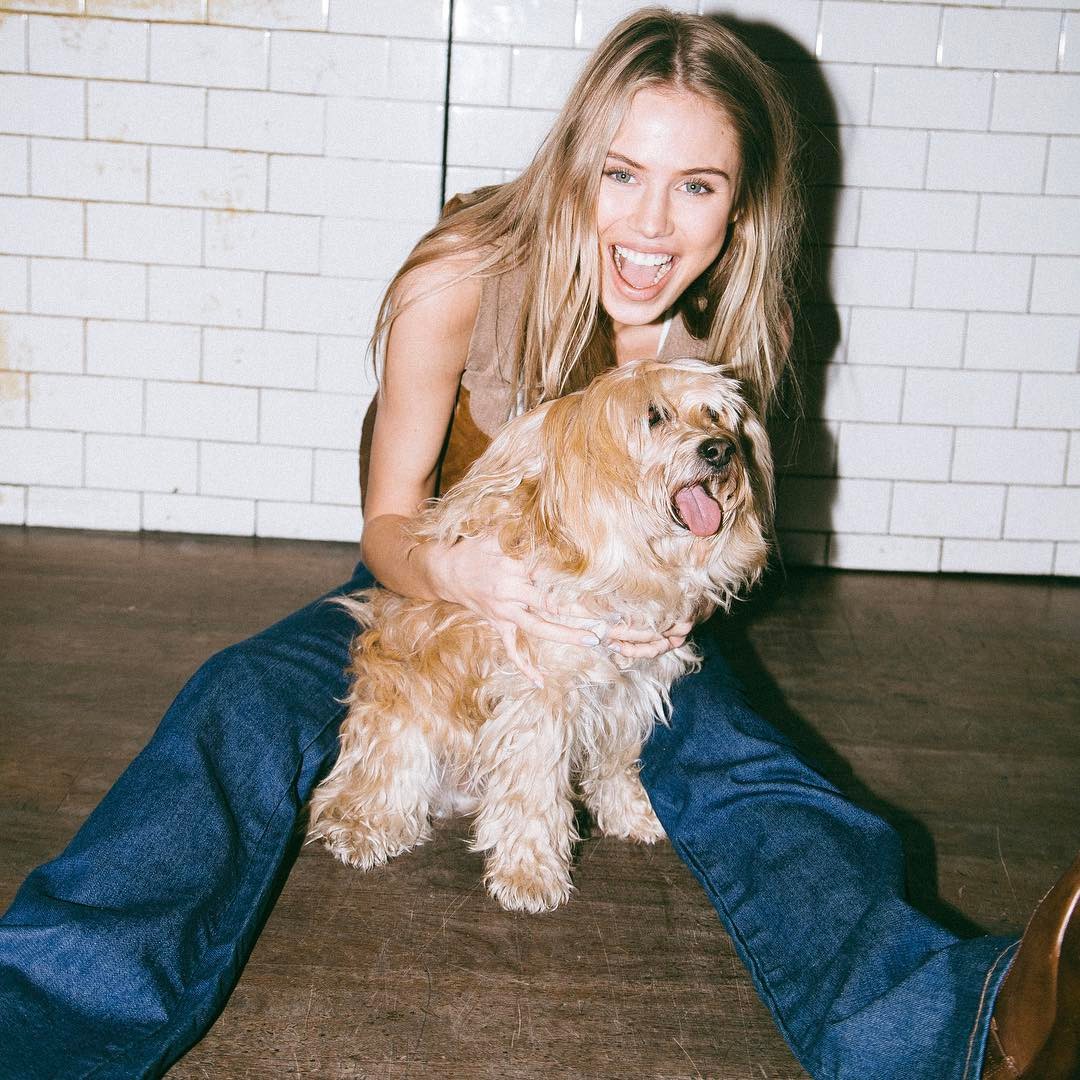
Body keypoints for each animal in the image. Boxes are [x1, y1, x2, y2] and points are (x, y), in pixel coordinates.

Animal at [308, 357, 773, 913]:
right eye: (653, 416)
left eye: (716, 415)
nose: (720, 449)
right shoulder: (541, 701)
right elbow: (533, 793)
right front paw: (528, 874)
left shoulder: (628, 692)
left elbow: (617, 764)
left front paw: (630, 814)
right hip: (400, 725)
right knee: (367, 784)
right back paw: (364, 829)